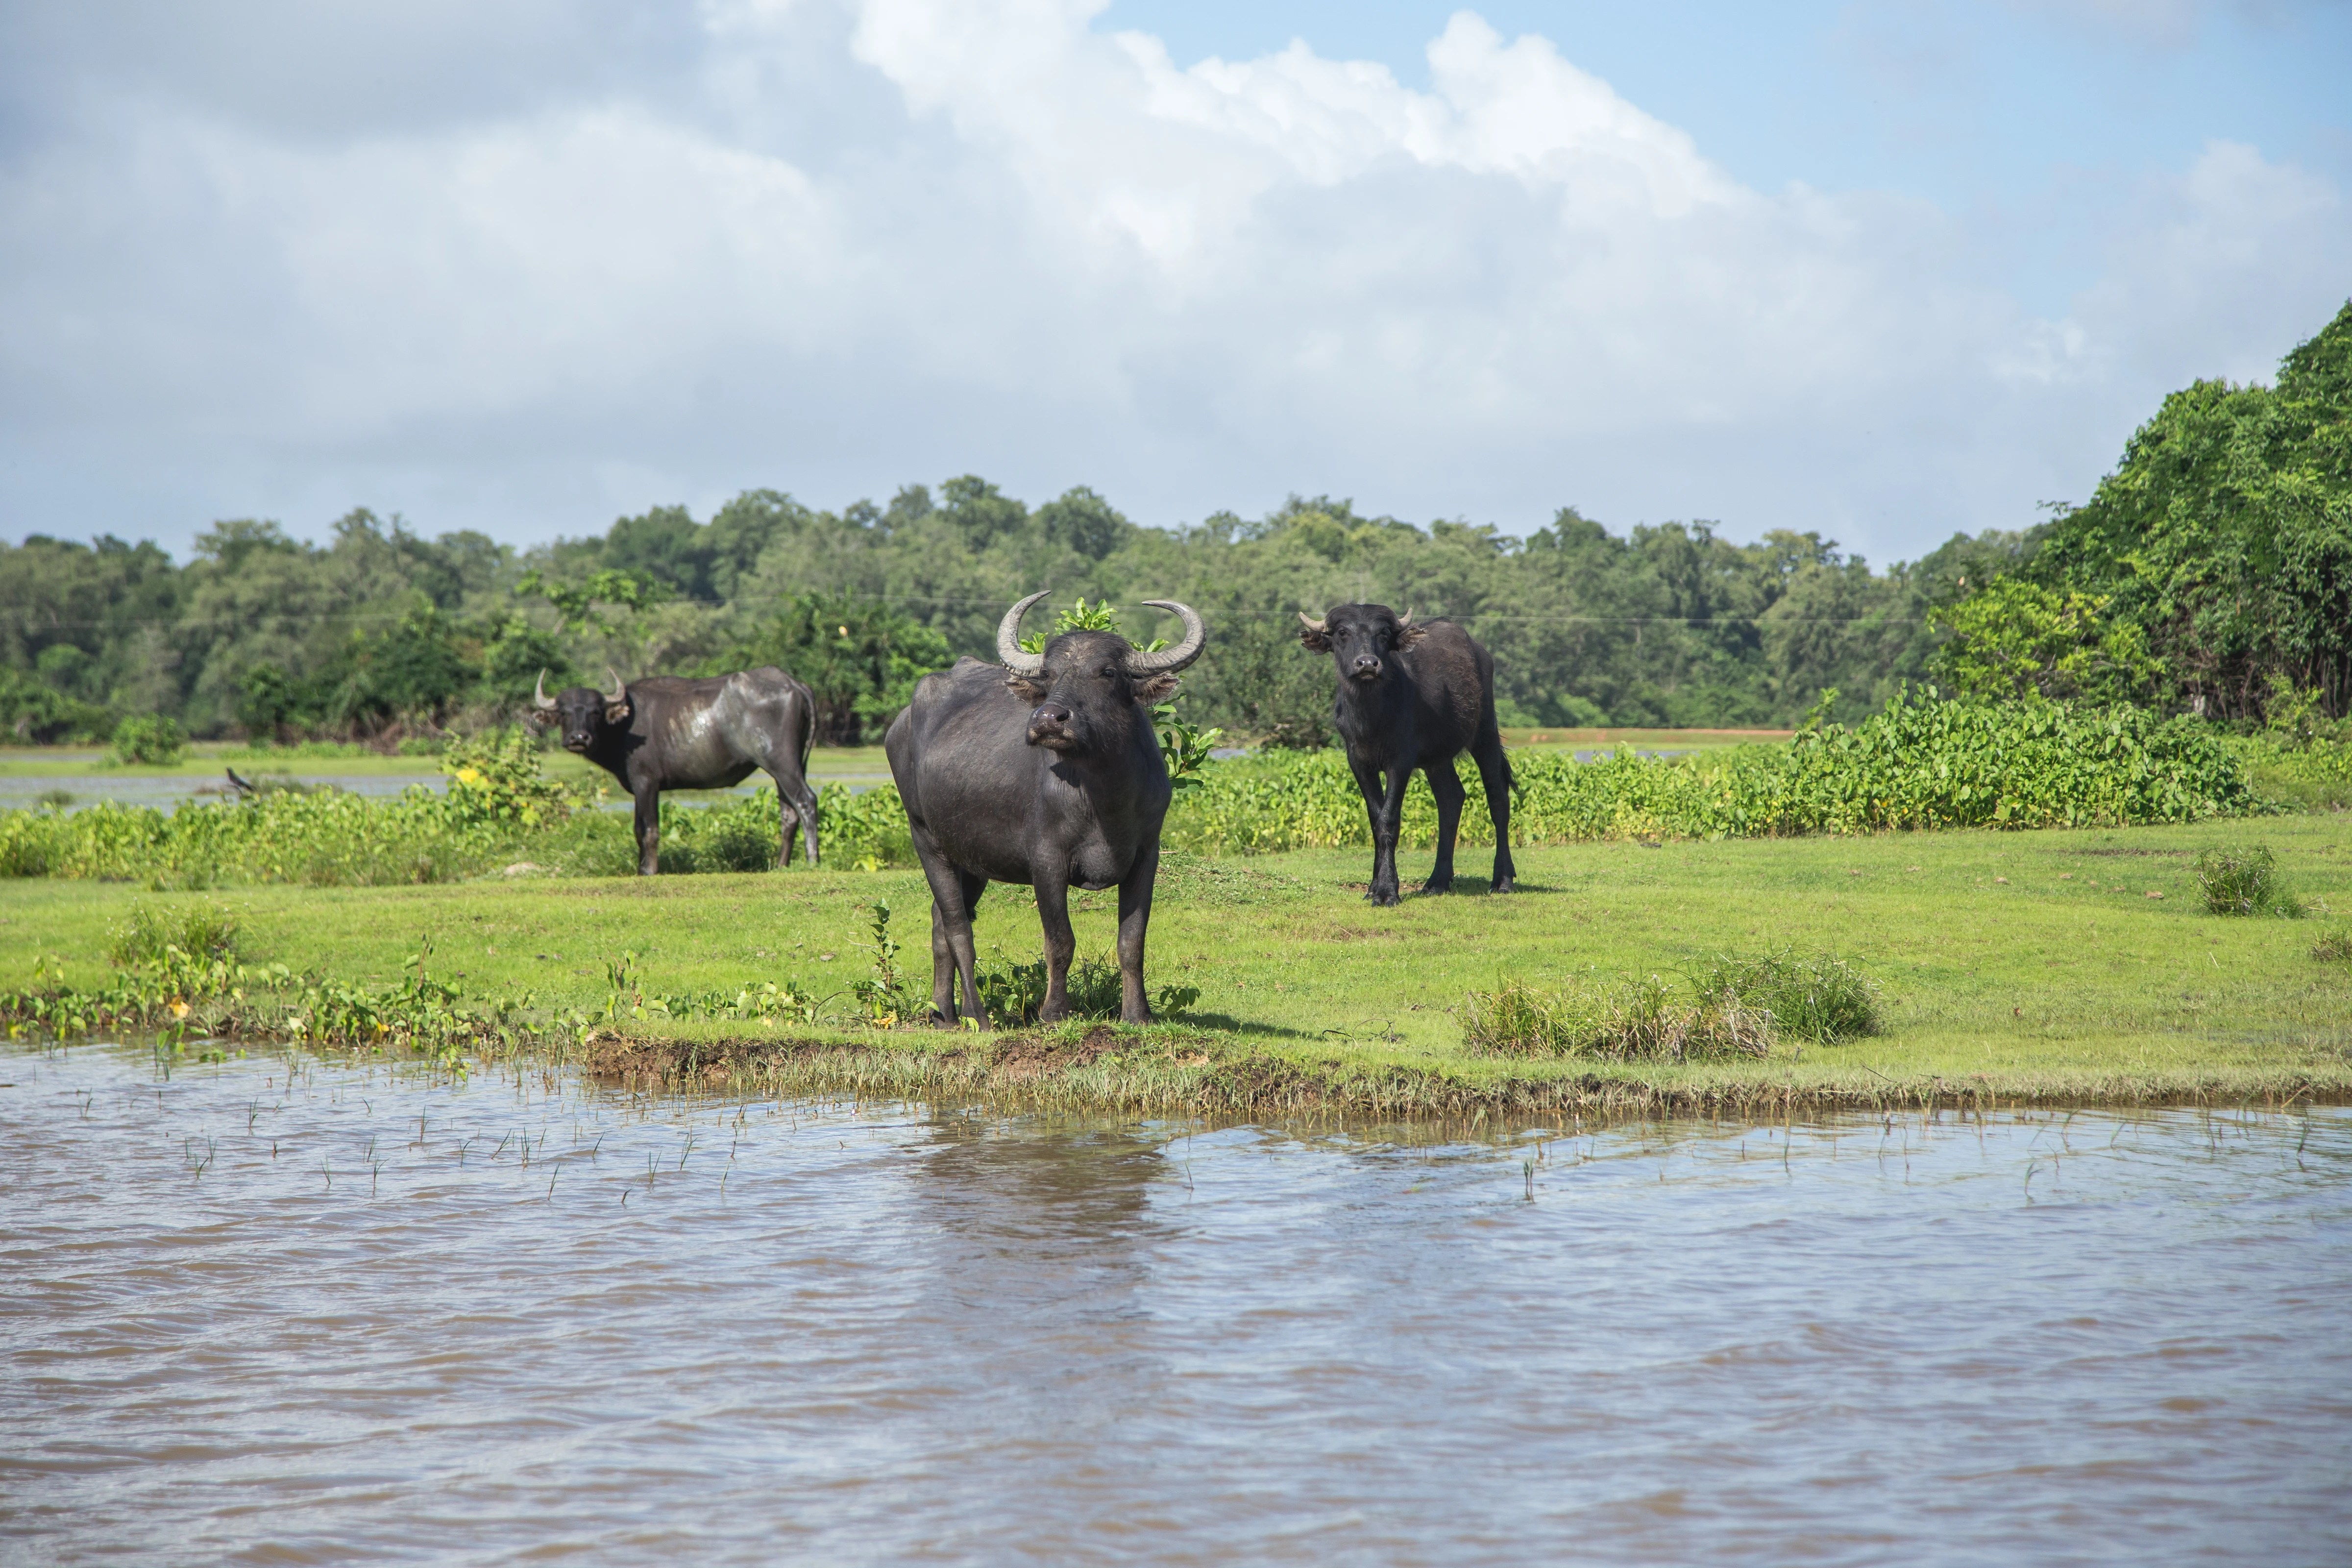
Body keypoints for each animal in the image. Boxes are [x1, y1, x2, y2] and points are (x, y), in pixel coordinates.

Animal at [530, 666, 822, 876]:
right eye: (564, 712)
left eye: (596, 712)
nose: (579, 738)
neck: (624, 727)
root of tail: (794, 685)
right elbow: (639, 829)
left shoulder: (646, 783)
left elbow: (648, 829)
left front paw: (649, 870)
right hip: (791, 766)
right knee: (789, 813)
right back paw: (781, 865)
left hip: (781, 763)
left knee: (806, 801)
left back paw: (812, 860)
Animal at [884, 592, 1205, 1026]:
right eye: (1050, 675)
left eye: (1107, 672)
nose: (1049, 719)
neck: (1103, 798)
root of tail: (900, 724)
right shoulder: (1046, 860)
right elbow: (1060, 941)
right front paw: (1054, 1012)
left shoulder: (1146, 855)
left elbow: (1132, 940)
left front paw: (1138, 1014)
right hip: (926, 839)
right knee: (956, 927)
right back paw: (977, 1016)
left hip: (971, 859)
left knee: (940, 922)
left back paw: (945, 1013)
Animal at [1299, 604, 1515, 905]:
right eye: (1342, 632)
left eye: (1383, 633)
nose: (1368, 664)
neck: (1373, 716)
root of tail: (1480, 652)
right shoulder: (1358, 763)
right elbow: (1375, 820)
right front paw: (1373, 887)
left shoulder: (1400, 763)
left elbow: (1388, 820)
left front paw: (1387, 891)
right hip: (1438, 758)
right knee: (1451, 800)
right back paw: (1437, 882)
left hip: (1485, 733)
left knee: (1498, 799)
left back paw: (1503, 880)